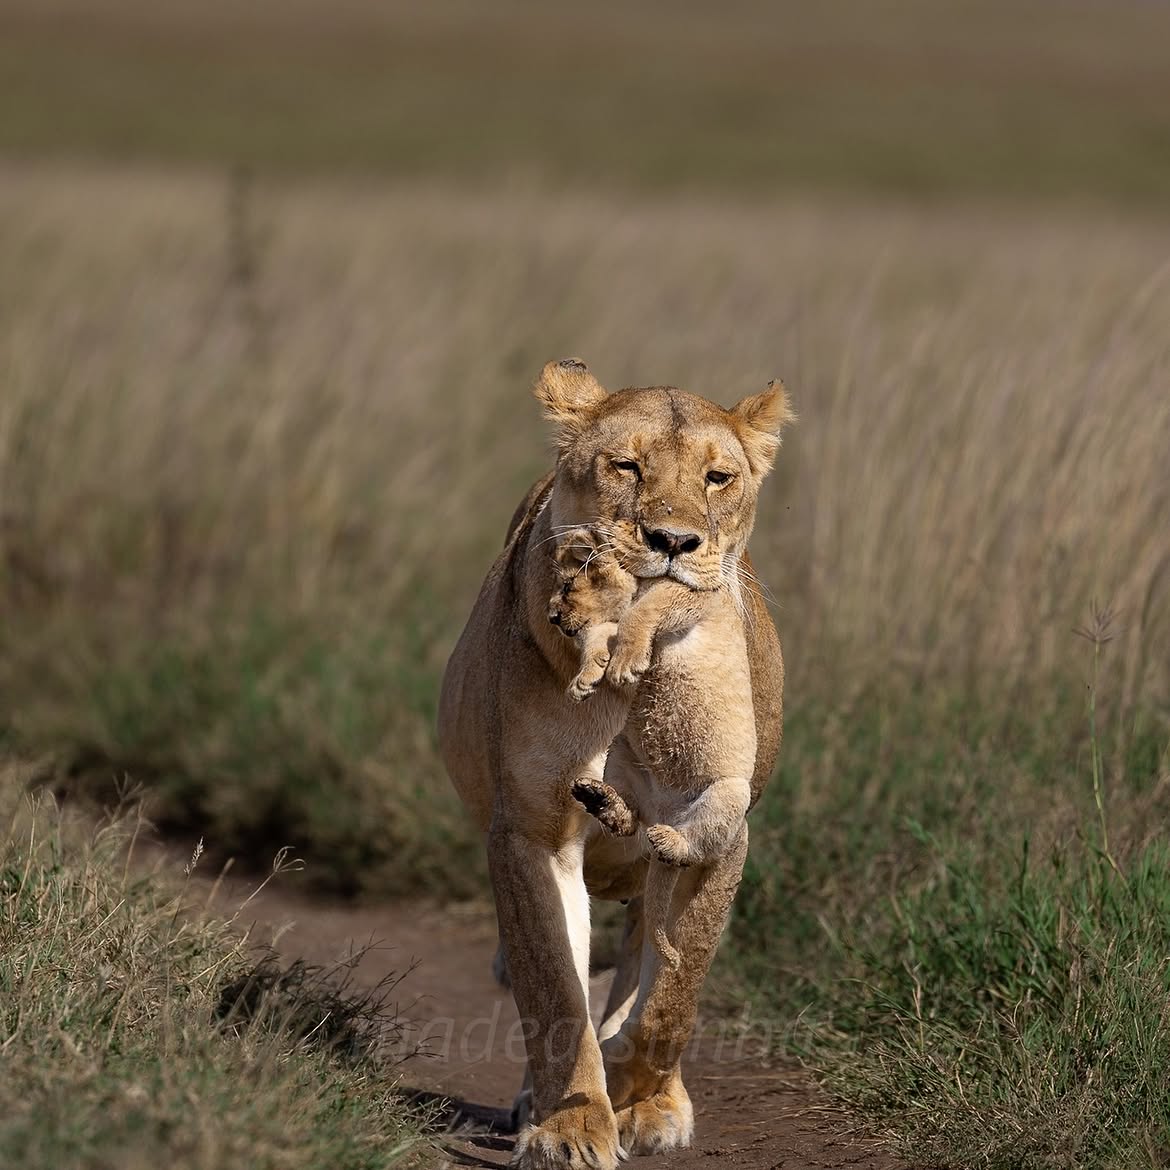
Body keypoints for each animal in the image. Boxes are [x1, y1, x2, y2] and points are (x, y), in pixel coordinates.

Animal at [546, 527, 754, 970]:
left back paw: (668, 841)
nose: (552, 617)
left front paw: (623, 664)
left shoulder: (690, 595)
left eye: (568, 586)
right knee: (629, 821)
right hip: (621, 756)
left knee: (693, 847)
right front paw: (585, 679)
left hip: (728, 794)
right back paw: (598, 798)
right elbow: (602, 634)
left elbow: (640, 614)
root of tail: (667, 812)